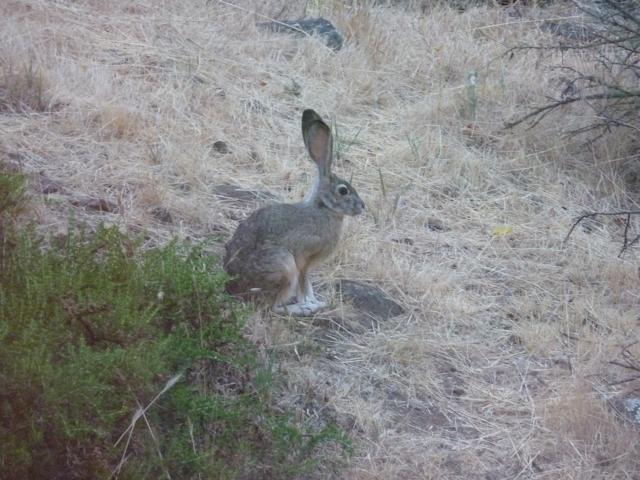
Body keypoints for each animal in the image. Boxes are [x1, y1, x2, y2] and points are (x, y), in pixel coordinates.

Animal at [223, 109, 365, 316]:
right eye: (343, 190)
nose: (362, 207)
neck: (324, 208)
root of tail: (233, 287)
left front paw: (315, 301)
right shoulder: (303, 258)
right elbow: (304, 283)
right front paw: (312, 303)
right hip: (283, 265)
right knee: (273, 306)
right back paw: (302, 309)